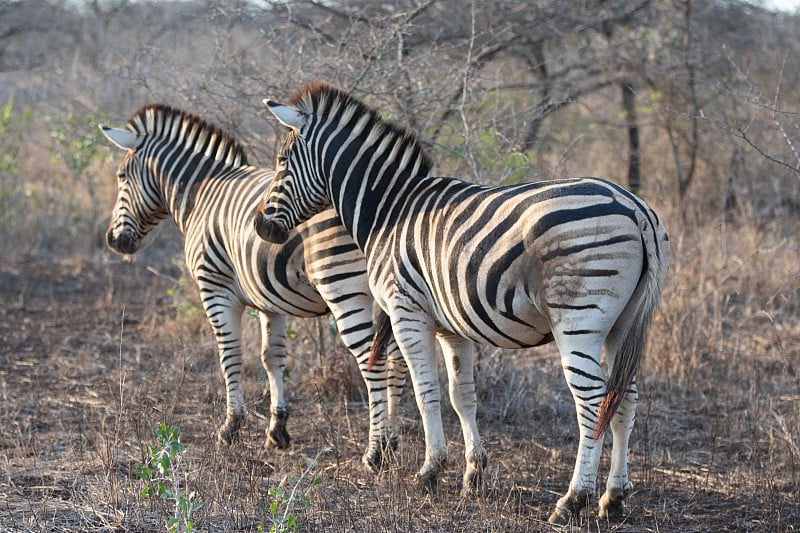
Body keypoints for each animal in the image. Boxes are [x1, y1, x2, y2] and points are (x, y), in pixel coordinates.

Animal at [99, 104, 406, 470]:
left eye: (120, 176)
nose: (113, 241)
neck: (201, 194)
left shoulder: (215, 289)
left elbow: (229, 354)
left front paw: (231, 427)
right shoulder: (272, 300)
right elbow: (271, 357)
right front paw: (277, 429)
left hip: (342, 287)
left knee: (373, 359)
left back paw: (376, 451)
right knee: (399, 358)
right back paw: (394, 440)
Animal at [255, 83, 668, 524]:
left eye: (281, 161)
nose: (260, 226)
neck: (389, 211)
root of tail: (636, 208)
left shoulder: (406, 313)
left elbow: (426, 391)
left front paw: (430, 471)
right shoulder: (453, 327)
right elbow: (462, 395)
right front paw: (474, 474)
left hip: (579, 321)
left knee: (591, 400)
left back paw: (573, 500)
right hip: (622, 322)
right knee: (624, 397)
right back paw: (613, 498)